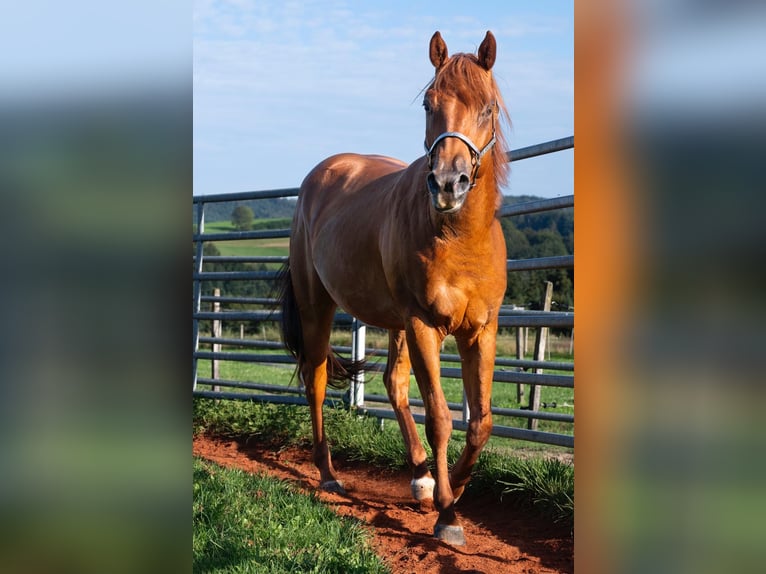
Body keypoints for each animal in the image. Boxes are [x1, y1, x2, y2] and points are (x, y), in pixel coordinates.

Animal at [280, 31, 510, 548]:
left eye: (487, 107)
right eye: (429, 103)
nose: (447, 183)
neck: (458, 237)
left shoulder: (480, 331)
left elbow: (480, 423)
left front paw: (453, 487)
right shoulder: (425, 325)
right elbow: (442, 417)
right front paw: (448, 513)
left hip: (396, 323)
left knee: (393, 383)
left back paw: (421, 477)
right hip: (319, 307)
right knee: (317, 380)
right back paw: (329, 474)